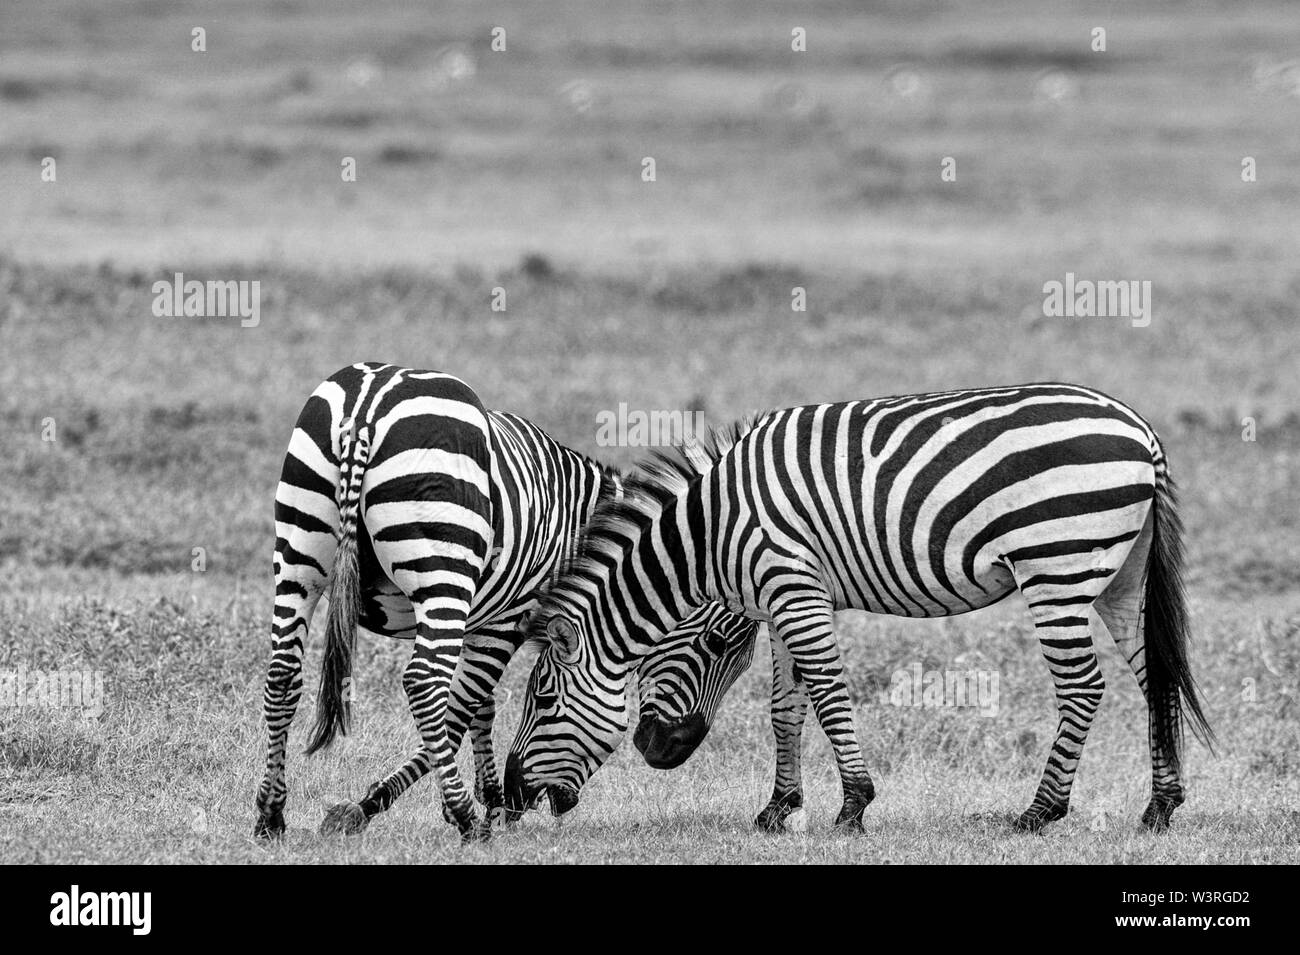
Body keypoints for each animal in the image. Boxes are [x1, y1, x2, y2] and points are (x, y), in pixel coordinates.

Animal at [252, 362, 753, 842]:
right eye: (718, 645)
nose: (668, 753)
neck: (578, 539)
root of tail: (367, 404)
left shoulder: (483, 615)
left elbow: (482, 707)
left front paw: (487, 796)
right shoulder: (509, 618)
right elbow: (463, 706)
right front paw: (421, 807)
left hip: (299, 551)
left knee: (283, 673)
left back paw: (270, 815)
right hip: (441, 568)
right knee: (425, 683)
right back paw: (465, 821)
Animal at [505, 383, 1215, 832]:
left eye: (541, 698)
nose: (510, 796)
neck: (710, 534)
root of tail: (1141, 431)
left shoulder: (791, 582)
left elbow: (828, 693)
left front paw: (853, 806)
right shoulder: (785, 594)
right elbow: (786, 705)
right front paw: (778, 808)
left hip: (1056, 566)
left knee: (1083, 687)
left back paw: (1039, 812)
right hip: (1121, 575)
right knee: (1155, 678)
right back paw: (1160, 807)